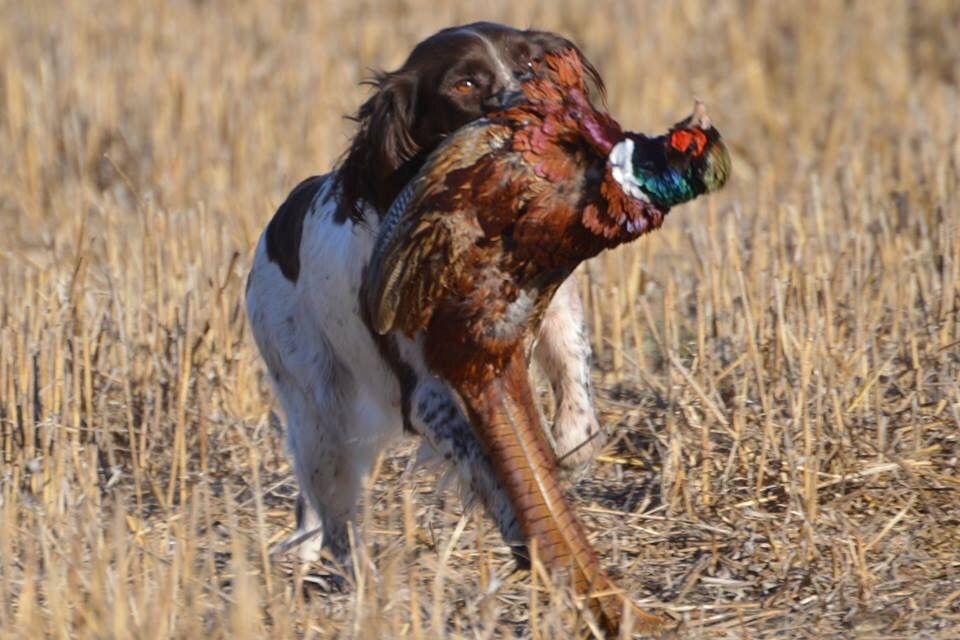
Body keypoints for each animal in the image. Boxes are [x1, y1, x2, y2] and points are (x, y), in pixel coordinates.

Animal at [248, 21, 608, 564]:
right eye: (465, 84)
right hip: (316, 403)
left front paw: (568, 450)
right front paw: (529, 524)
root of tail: (276, 227)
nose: (529, 104)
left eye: (528, 64)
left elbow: (574, 377)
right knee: (332, 511)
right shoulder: (427, 391)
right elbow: (488, 462)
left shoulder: (553, 307)